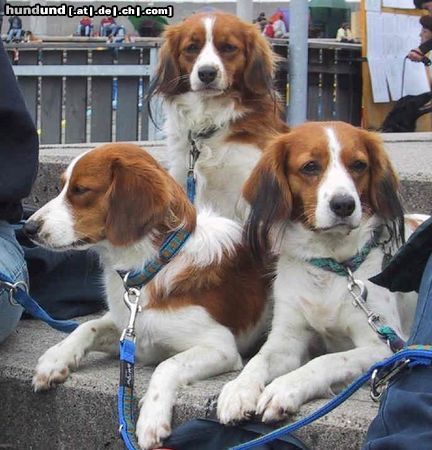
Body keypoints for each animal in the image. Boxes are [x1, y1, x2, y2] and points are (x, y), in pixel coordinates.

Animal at [218, 121, 426, 424]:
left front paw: (283, 389)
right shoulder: (287, 339)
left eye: (359, 165)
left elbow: (326, 360)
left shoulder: (384, 346)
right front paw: (238, 390)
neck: (333, 267)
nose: (344, 204)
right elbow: (258, 360)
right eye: (310, 167)